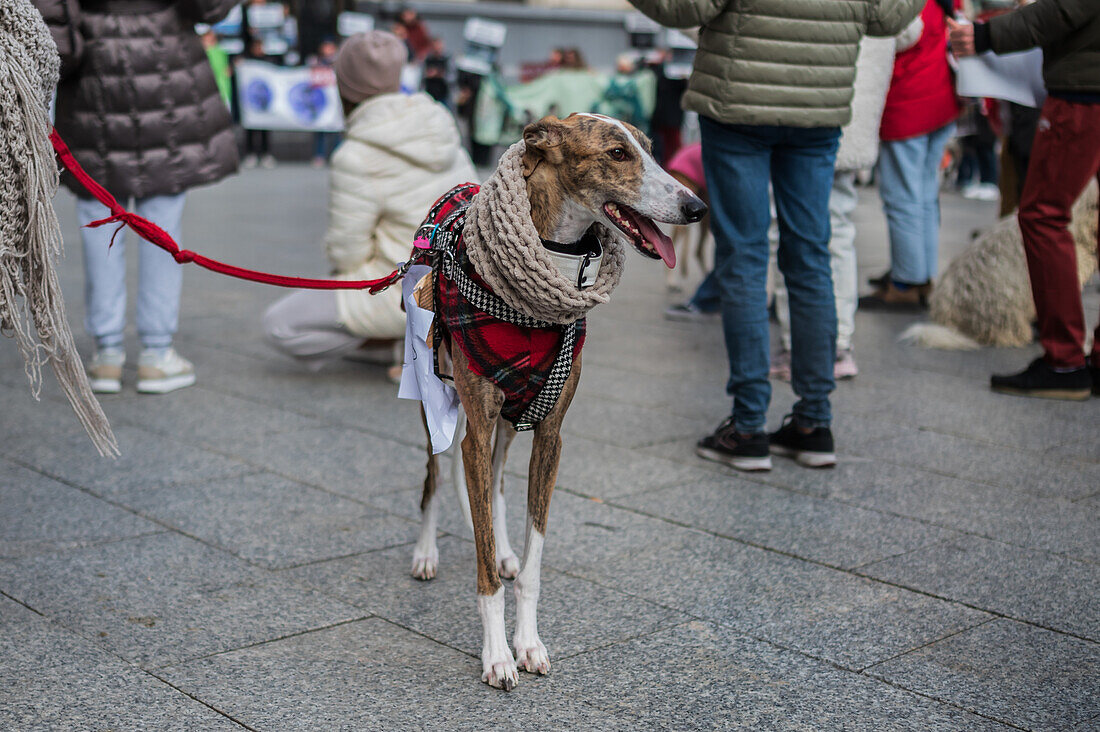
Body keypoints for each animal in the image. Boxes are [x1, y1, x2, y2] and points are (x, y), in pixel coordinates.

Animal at [411, 111, 704, 686]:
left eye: (651, 147)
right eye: (617, 153)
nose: (696, 207)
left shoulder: (549, 432)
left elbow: (532, 558)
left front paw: (527, 642)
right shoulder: (479, 417)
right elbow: (483, 570)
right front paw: (497, 656)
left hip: (506, 420)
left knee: (492, 481)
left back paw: (501, 547)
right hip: (436, 400)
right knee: (436, 477)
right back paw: (427, 553)